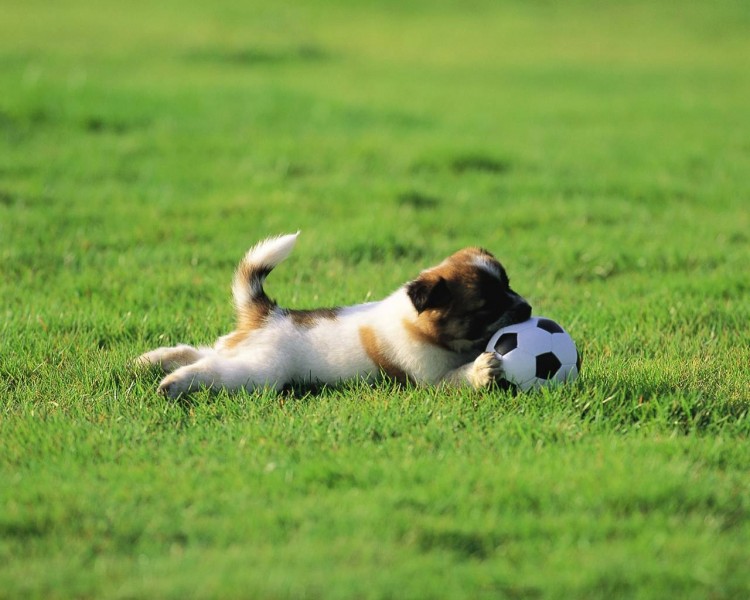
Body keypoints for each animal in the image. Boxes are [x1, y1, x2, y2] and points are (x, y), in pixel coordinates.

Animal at [137, 231, 536, 398]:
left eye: (509, 285)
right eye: (487, 306)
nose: (529, 308)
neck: (421, 324)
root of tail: (268, 314)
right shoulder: (430, 379)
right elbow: (460, 376)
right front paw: (483, 370)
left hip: (240, 349)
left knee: (200, 351)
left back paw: (150, 361)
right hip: (261, 370)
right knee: (211, 368)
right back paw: (173, 383)